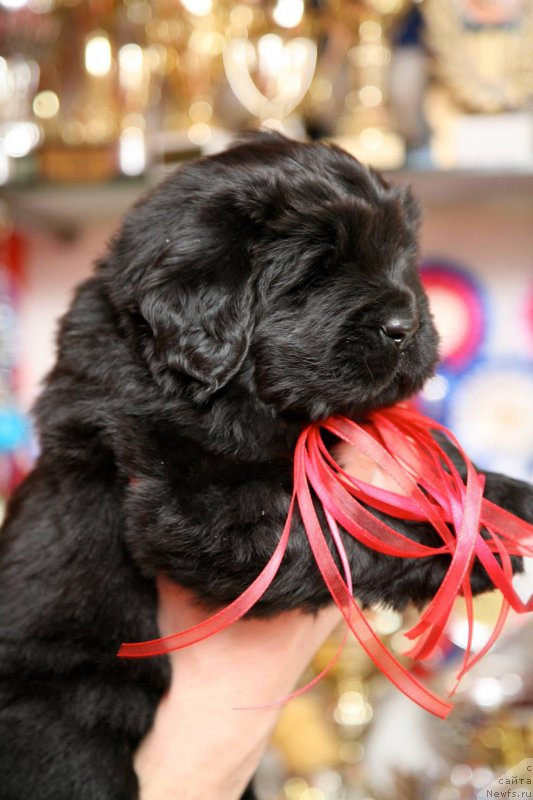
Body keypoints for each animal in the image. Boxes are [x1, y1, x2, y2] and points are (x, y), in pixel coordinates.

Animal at [0, 134, 528, 796]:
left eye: (402, 258)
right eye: (315, 270)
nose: (409, 325)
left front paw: (504, 498)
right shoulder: (209, 511)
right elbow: (356, 523)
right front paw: (474, 543)